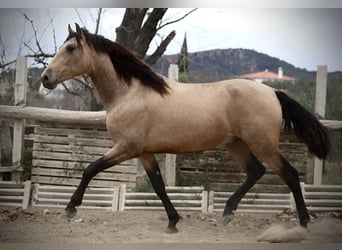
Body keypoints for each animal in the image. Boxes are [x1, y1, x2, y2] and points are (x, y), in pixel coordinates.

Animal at [41, 24, 330, 233]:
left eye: (70, 48)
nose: (45, 78)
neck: (129, 93)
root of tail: (271, 91)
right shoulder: (144, 153)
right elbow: (158, 186)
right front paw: (173, 221)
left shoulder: (126, 148)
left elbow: (90, 169)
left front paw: (70, 208)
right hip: (236, 143)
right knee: (255, 171)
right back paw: (227, 212)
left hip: (263, 144)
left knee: (289, 175)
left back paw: (304, 222)